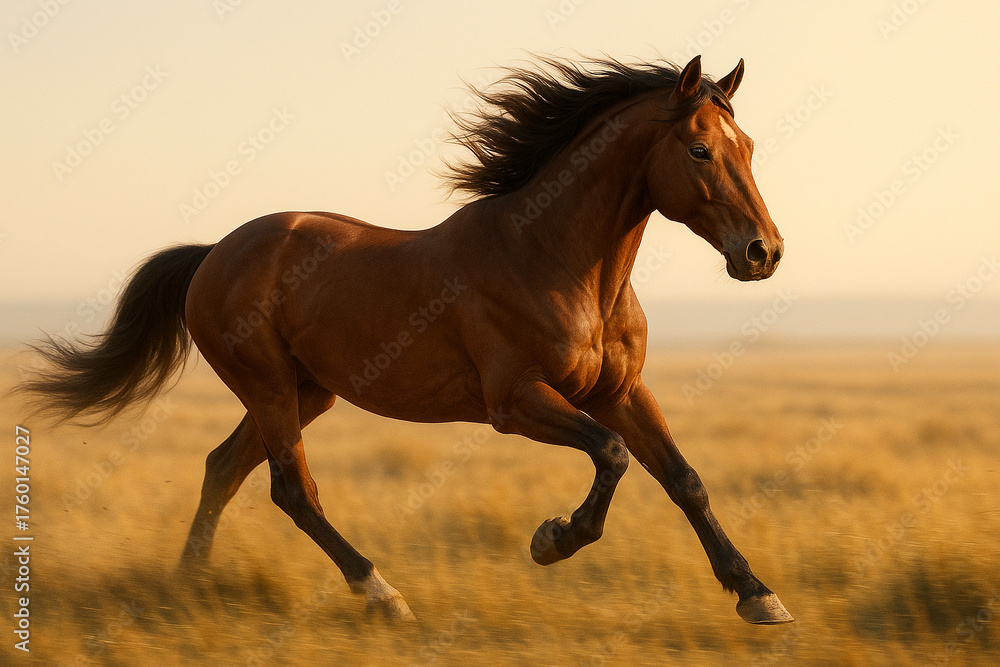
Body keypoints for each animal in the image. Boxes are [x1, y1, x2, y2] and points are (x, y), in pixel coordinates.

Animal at [19, 55, 790, 624]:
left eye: (748, 147)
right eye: (699, 149)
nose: (764, 251)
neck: (557, 260)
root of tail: (214, 253)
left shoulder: (620, 390)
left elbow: (683, 478)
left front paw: (758, 596)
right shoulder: (516, 402)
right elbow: (613, 454)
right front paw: (552, 540)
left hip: (307, 392)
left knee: (223, 467)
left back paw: (188, 582)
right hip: (269, 387)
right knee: (291, 488)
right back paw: (382, 595)